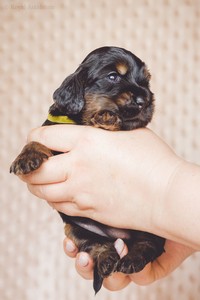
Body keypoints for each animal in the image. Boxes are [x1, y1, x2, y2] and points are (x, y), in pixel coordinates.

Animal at [10, 46, 165, 292]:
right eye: (113, 76)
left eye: (146, 81)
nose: (146, 99)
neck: (80, 121)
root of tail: (119, 235)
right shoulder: (53, 129)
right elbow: (37, 141)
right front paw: (27, 156)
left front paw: (106, 118)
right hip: (76, 229)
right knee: (98, 244)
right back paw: (107, 260)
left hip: (145, 223)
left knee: (148, 244)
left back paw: (131, 260)